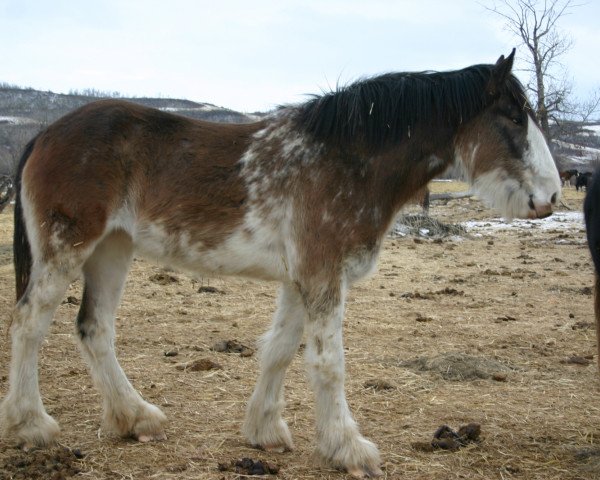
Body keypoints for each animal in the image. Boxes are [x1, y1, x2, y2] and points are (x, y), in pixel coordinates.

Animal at [0, 50, 560, 478]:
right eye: (513, 116)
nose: (551, 197)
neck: (344, 160)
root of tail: (46, 135)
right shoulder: (322, 274)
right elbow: (328, 363)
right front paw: (347, 448)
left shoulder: (300, 279)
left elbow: (280, 351)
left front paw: (264, 431)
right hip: (67, 249)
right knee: (29, 324)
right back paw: (31, 425)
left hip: (112, 249)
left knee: (94, 328)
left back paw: (134, 418)